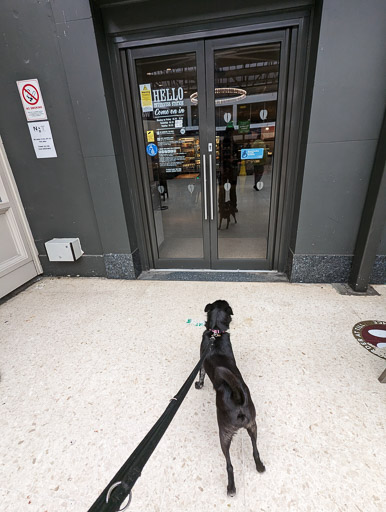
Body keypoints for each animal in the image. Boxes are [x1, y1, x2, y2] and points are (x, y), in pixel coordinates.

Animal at [195, 300, 264, 496]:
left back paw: (231, 487)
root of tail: (238, 397)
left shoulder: (201, 364)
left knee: (229, 465)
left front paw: (199, 385)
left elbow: (201, 376)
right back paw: (259, 466)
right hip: (253, 425)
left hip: (224, 434)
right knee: (255, 450)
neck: (216, 332)